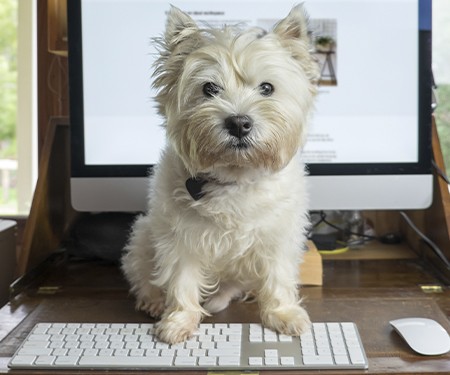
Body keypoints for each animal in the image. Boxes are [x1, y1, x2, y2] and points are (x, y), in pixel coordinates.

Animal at [121, 4, 320, 346]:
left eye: (267, 88)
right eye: (209, 89)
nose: (239, 123)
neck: (235, 176)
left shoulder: (278, 236)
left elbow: (278, 276)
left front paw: (282, 314)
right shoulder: (180, 238)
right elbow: (181, 279)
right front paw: (179, 320)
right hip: (144, 233)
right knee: (142, 272)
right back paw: (153, 300)